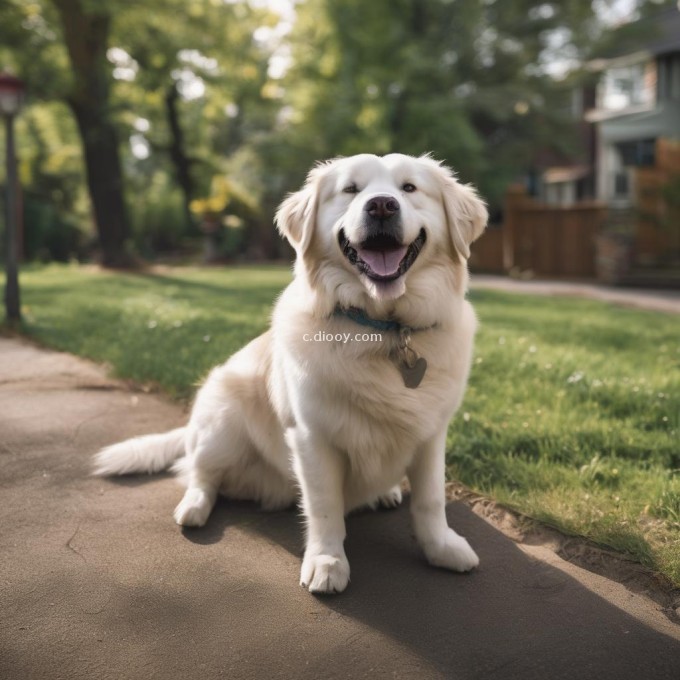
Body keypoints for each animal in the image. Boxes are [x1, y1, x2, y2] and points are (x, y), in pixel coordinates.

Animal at [95, 153, 488, 588]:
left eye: (409, 188)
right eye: (350, 189)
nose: (382, 206)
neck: (385, 329)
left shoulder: (431, 433)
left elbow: (431, 500)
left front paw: (442, 548)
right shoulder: (312, 437)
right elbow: (324, 506)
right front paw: (327, 561)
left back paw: (385, 493)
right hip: (221, 418)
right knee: (200, 474)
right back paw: (193, 507)